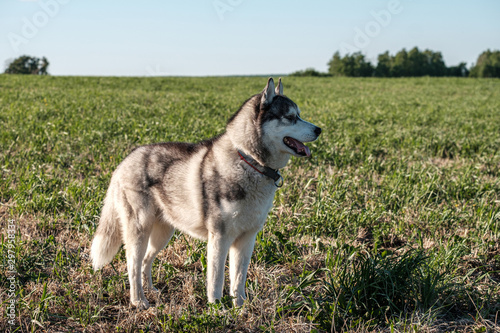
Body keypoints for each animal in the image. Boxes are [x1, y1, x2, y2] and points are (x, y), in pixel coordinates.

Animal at [91, 78, 322, 308]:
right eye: (290, 117)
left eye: (299, 114)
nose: (319, 129)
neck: (249, 161)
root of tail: (125, 160)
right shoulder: (219, 237)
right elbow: (216, 279)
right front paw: (216, 309)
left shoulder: (247, 239)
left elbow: (238, 279)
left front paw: (240, 308)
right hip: (139, 229)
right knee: (132, 264)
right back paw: (139, 301)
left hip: (163, 233)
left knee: (146, 261)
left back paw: (150, 290)